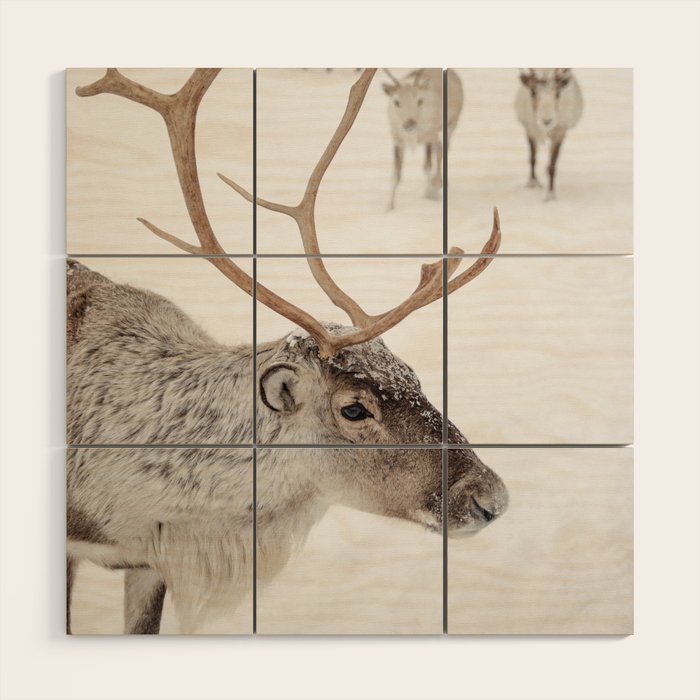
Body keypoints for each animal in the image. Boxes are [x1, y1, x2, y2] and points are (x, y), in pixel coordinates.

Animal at [382, 68, 463, 210]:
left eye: (420, 100)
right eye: (396, 102)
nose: (410, 124)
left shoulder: (430, 135)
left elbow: (428, 165)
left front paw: (430, 194)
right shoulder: (397, 140)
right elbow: (396, 175)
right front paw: (389, 207)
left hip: (452, 123)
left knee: (443, 149)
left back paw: (437, 184)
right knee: (440, 148)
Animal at [515, 68, 583, 200]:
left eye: (557, 93)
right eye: (533, 92)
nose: (546, 121)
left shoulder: (560, 133)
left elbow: (552, 165)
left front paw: (550, 195)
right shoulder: (530, 129)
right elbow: (532, 158)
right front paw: (532, 183)